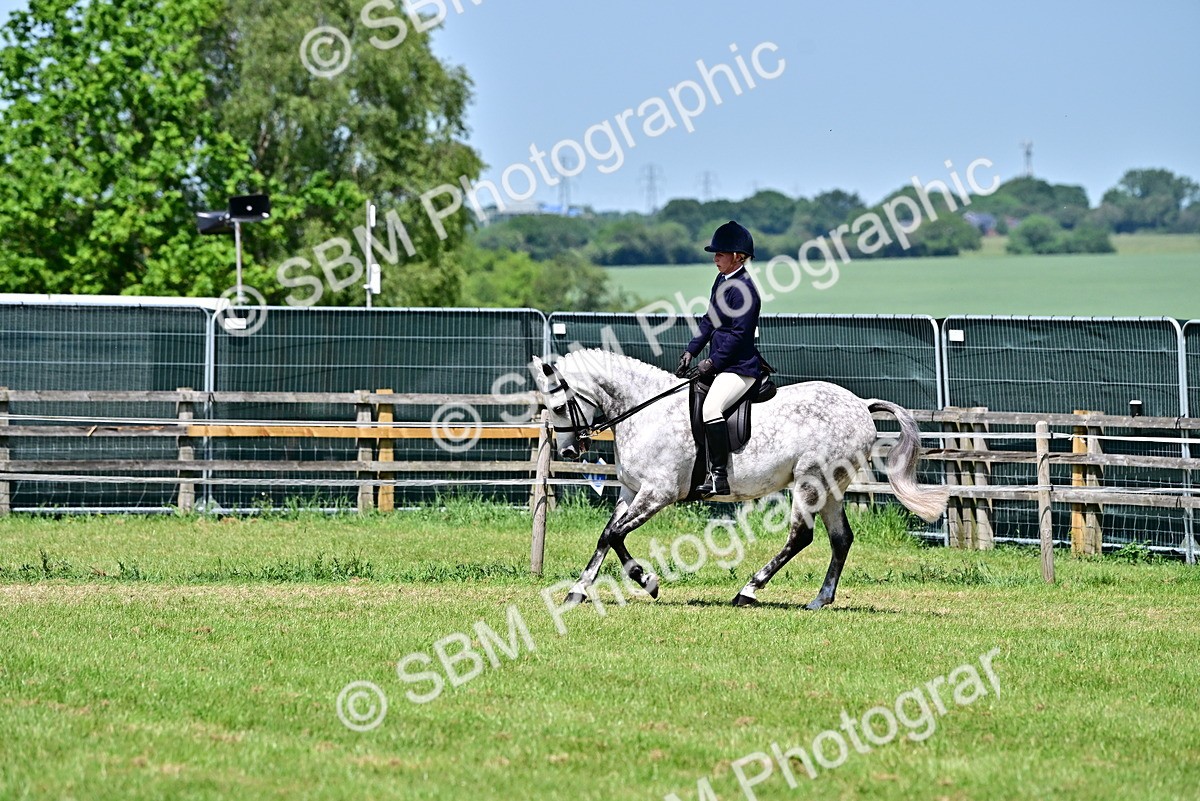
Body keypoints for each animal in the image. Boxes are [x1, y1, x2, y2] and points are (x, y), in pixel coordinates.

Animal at [530, 349, 948, 610]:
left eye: (559, 406)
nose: (569, 451)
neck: (645, 410)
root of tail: (860, 405)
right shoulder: (631, 491)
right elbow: (606, 535)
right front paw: (578, 591)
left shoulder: (657, 493)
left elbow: (617, 535)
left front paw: (647, 580)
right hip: (830, 488)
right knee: (840, 539)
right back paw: (819, 600)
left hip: (809, 481)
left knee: (801, 536)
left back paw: (748, 590)